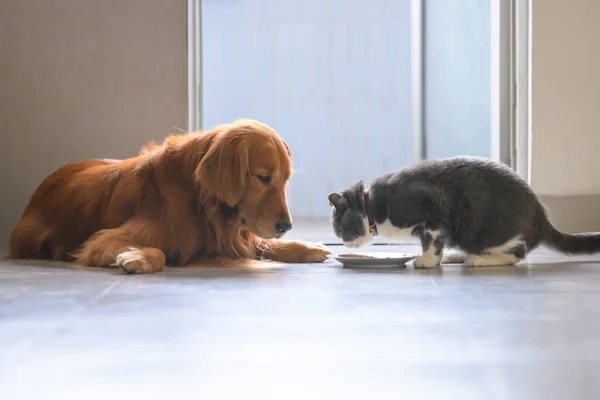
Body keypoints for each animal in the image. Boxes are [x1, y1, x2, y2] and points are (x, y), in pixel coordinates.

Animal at [7, 119, 330, 274]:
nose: (286, 226)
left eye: (285, 179)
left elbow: (264, 244)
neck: (199, 202)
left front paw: (308, 246)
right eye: (263, 178)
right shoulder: (102, 240)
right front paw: (137, 257)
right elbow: (158, 251)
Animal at [330, 156, 600, 268]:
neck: (372, 204)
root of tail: (542, 218)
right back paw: (457, 256)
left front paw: (427, 261)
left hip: (498, 231)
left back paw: (478, 260)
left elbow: (432, 241)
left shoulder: (433, 209)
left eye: (341, 231)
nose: (346, 245)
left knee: (516, 254)